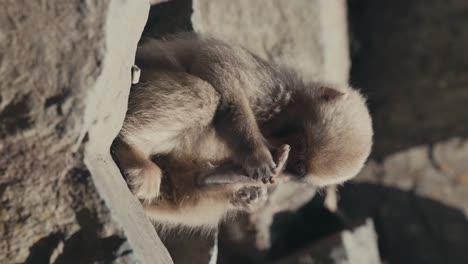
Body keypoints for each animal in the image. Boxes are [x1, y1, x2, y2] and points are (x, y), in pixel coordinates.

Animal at [116, 32, 372, 227]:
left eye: (299, 166)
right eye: (299, 148)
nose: (288, 162)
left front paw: (244, 185)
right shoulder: (274, 87)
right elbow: (218, 66)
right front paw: (255, 154)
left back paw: (221, 179)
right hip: (141, 84)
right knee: (205, 94)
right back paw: (132, 148)